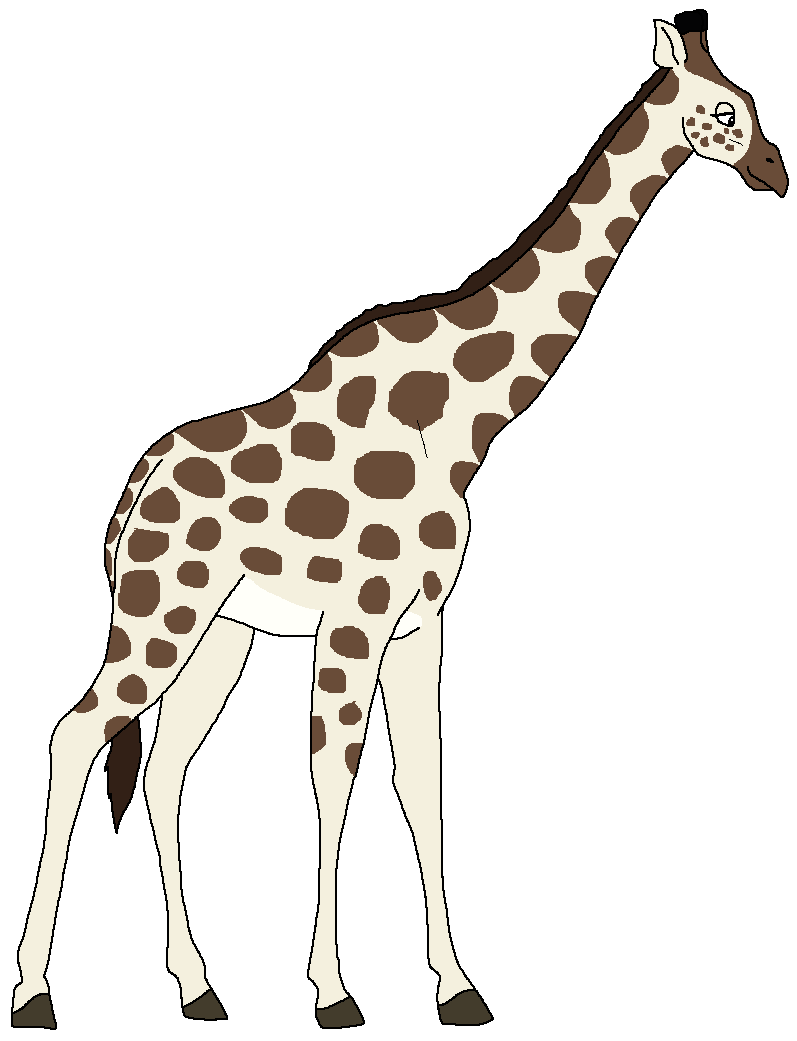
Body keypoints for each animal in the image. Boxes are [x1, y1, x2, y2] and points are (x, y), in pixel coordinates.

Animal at [13, 16, 786, 1029]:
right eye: (723, 107)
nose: (774, 169)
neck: (462, 419)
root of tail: (136, 490)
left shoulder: (422, 621)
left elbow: (421, 780)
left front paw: (456, 983)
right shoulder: (356, 619)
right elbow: (333, 780)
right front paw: (334, 989)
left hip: (217, 629)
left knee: (164, 766)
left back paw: (197, 984)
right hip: (158, 609)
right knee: (76, 733)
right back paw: (32, 987)